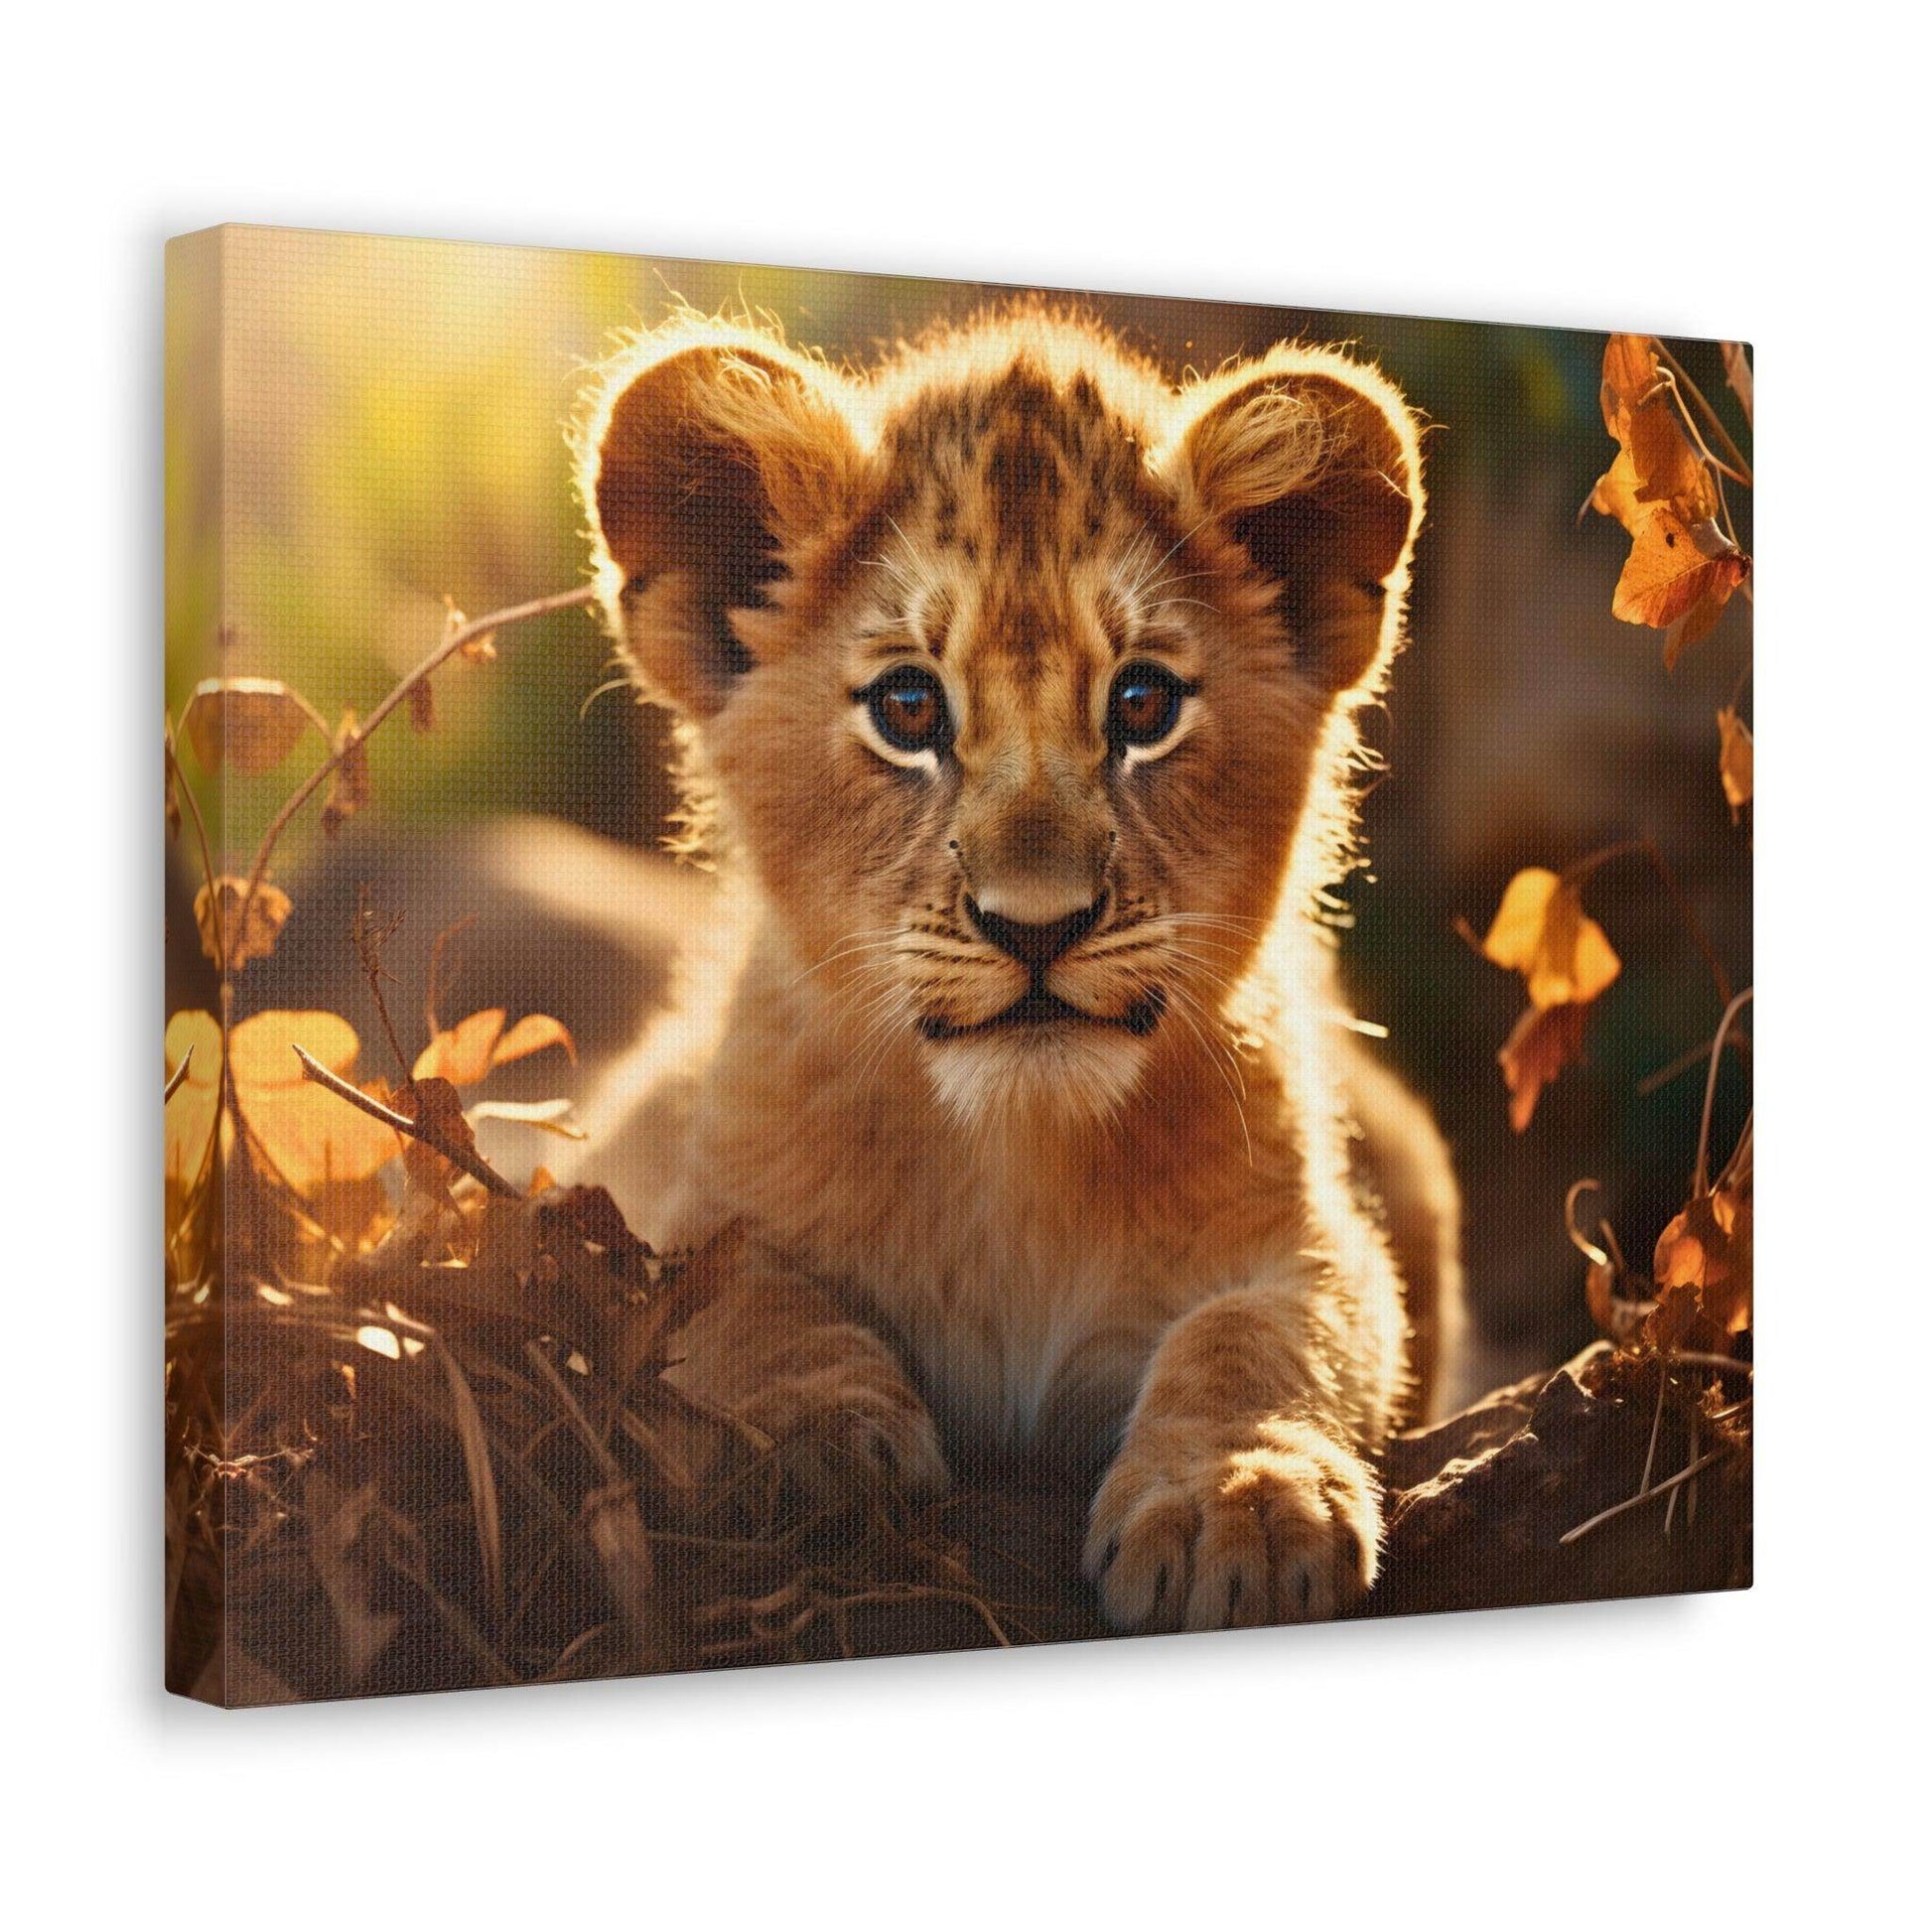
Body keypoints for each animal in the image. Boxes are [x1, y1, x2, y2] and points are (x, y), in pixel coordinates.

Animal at [568, 303, 1464, 1633]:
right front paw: (802, 1444)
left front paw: (1237, 1500)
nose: (1035, 925)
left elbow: (1264, 1333)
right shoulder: (676, 1195)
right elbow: (737, 1299)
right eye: (906, 706)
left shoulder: (1308, 1233)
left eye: (1142, 703)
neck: (1015, 1159)